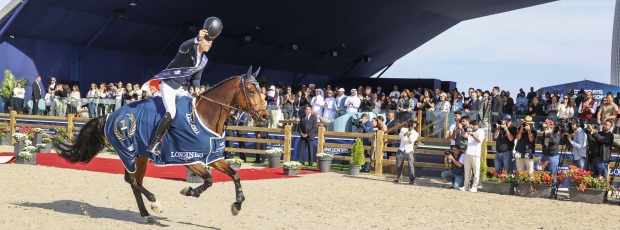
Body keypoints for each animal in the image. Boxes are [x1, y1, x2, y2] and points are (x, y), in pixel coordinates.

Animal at [51, 68, 268, 223]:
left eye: (262, 92)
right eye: (251, 91)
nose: (265, 117)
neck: (204, 117)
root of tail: (111, 115)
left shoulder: (213, 158)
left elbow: (235, 175)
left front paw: (237, 205)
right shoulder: (187, 158)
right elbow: (208, 180)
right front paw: (190, 191)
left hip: (140, 157)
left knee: (134, 182)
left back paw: (146, 214)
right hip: (128, 153)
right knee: (132, 181)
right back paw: (155, 203)